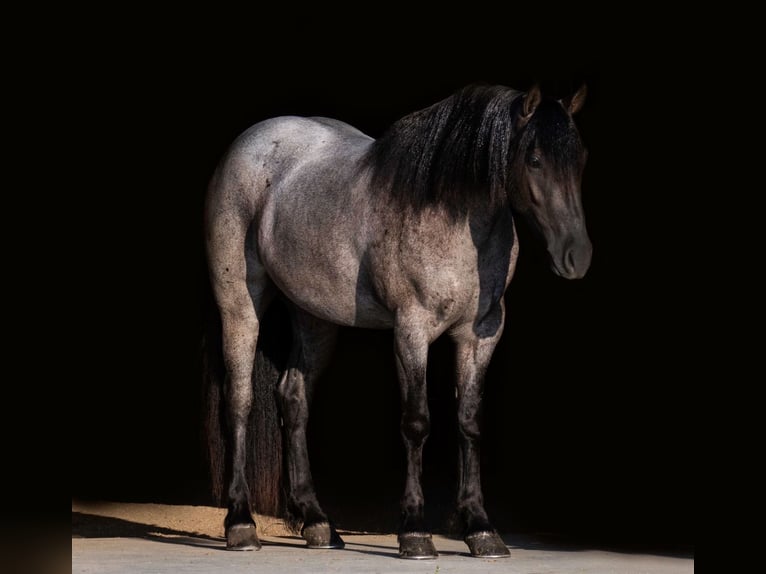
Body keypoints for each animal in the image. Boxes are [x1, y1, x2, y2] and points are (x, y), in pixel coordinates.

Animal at [203, 82, 591, 559]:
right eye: (534, 159)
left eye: (581, 157)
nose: (576, 256)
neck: (450, 217)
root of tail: (250, 143)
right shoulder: (411, 330)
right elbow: (417, 422)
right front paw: (415, 532)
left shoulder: (481, 335)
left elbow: (469, 422)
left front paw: (481, 529)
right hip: (240, 305)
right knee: (239, 402)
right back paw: (241, 525)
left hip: (314, 319)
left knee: (293, 398)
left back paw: (318, 523)